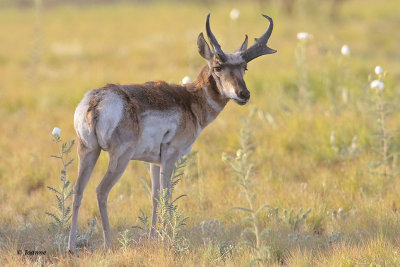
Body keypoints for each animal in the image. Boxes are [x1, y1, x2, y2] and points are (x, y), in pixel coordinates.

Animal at [67, 14, 276, 253]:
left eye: (244, 68)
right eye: (218, 67)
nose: (244, 94)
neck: (191, 100)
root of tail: (97, 100)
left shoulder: (153, 162)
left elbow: (155, 196)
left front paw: (153, 237)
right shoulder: (170, 155)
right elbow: (167, 196)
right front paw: (168, 238)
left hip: (88, 151)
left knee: (77, 189)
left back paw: (71, 247)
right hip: (120, 157)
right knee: (101, 190)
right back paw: (109, 243)